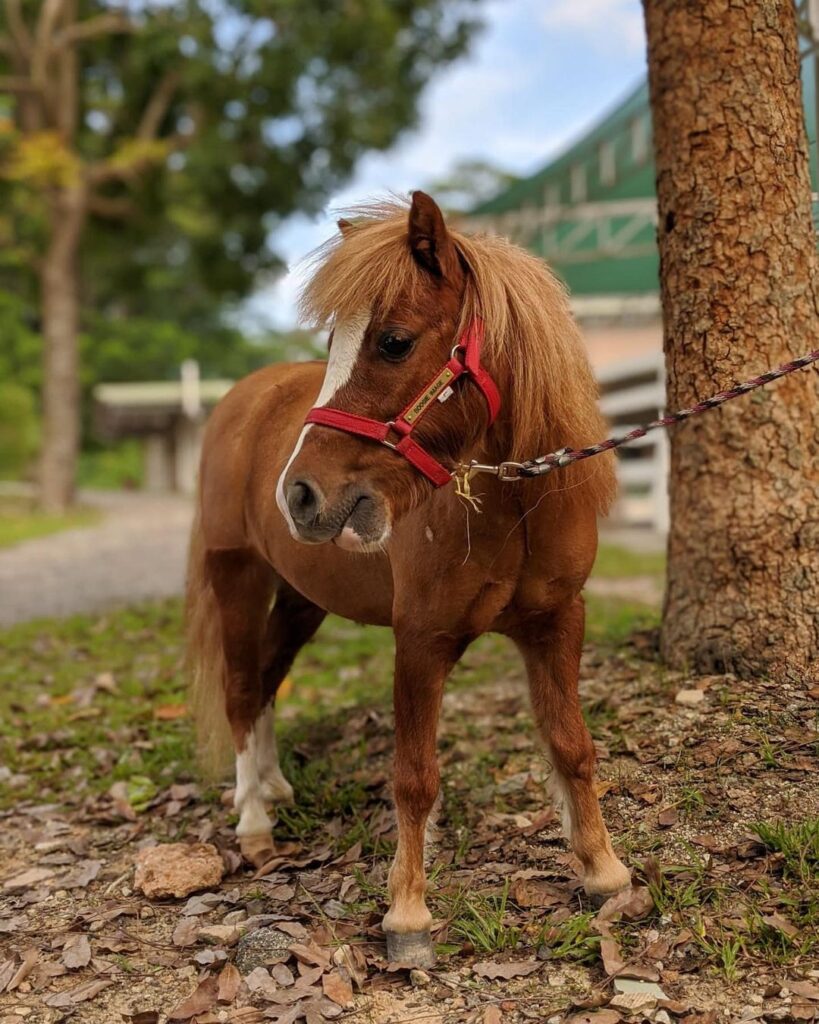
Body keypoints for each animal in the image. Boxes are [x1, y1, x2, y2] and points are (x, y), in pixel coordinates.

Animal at [185, 193, 630, 966]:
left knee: (267, 682)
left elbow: (572, 747)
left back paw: (273, 786)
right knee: (241, 691)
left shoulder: (556, 623)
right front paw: (408, 916)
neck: (512, 504)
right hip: (235, 576)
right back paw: (253, 823)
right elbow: (415, 778)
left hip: (299, 599)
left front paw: (603, 872)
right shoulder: (420, 640)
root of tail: (242, 399)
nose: (298, 494)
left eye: (393, 341)